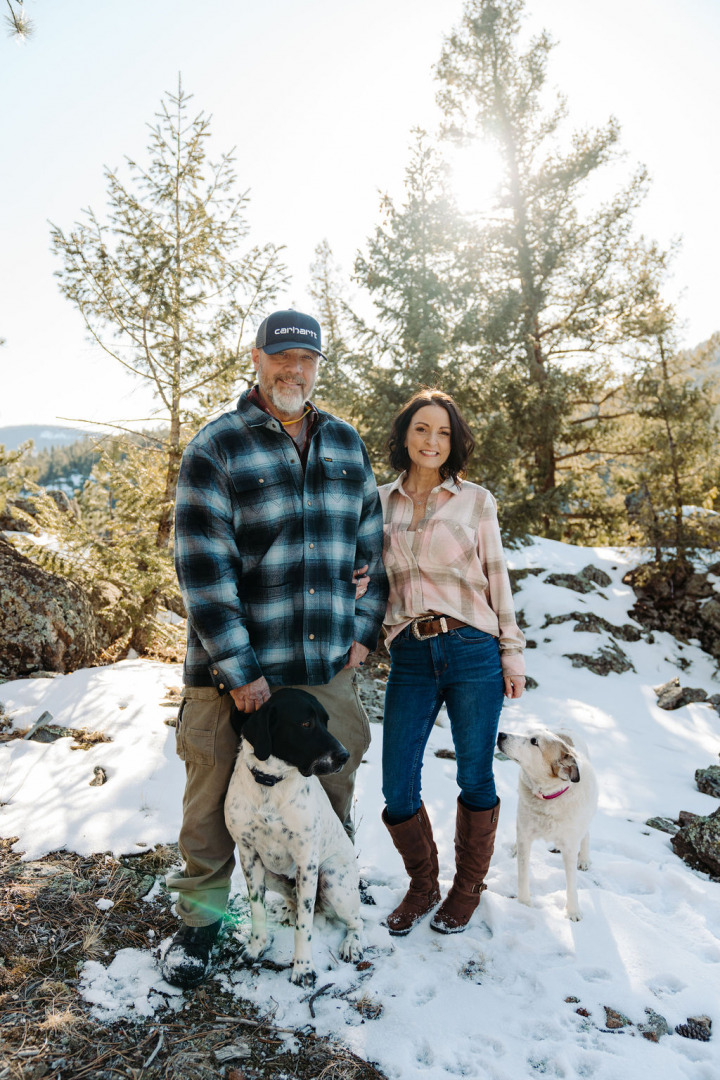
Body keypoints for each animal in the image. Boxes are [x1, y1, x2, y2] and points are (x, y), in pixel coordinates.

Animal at [224, 688, 363, 986]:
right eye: (305, 724)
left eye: (326, 721)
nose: (344, 755)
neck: (271, 783)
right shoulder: (249, 855)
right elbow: (258, 910)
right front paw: (255, 948)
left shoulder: (306, 862)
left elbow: (304, 926)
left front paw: (303, 968)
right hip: (272, 875)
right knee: (296, 902)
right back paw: (289, 911)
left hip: (333, 880)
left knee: (356, 921)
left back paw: (352, 944)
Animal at [497, 729, 598, 921]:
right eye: (526, 732)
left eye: (534, 742)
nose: (500, 734)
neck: (548, 797)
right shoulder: (525, 836)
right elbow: (523, 874)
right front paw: (524, 904)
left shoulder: (570, 847)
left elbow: (571, 884)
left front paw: (573, 911)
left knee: (587, 833)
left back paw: (584, 859)